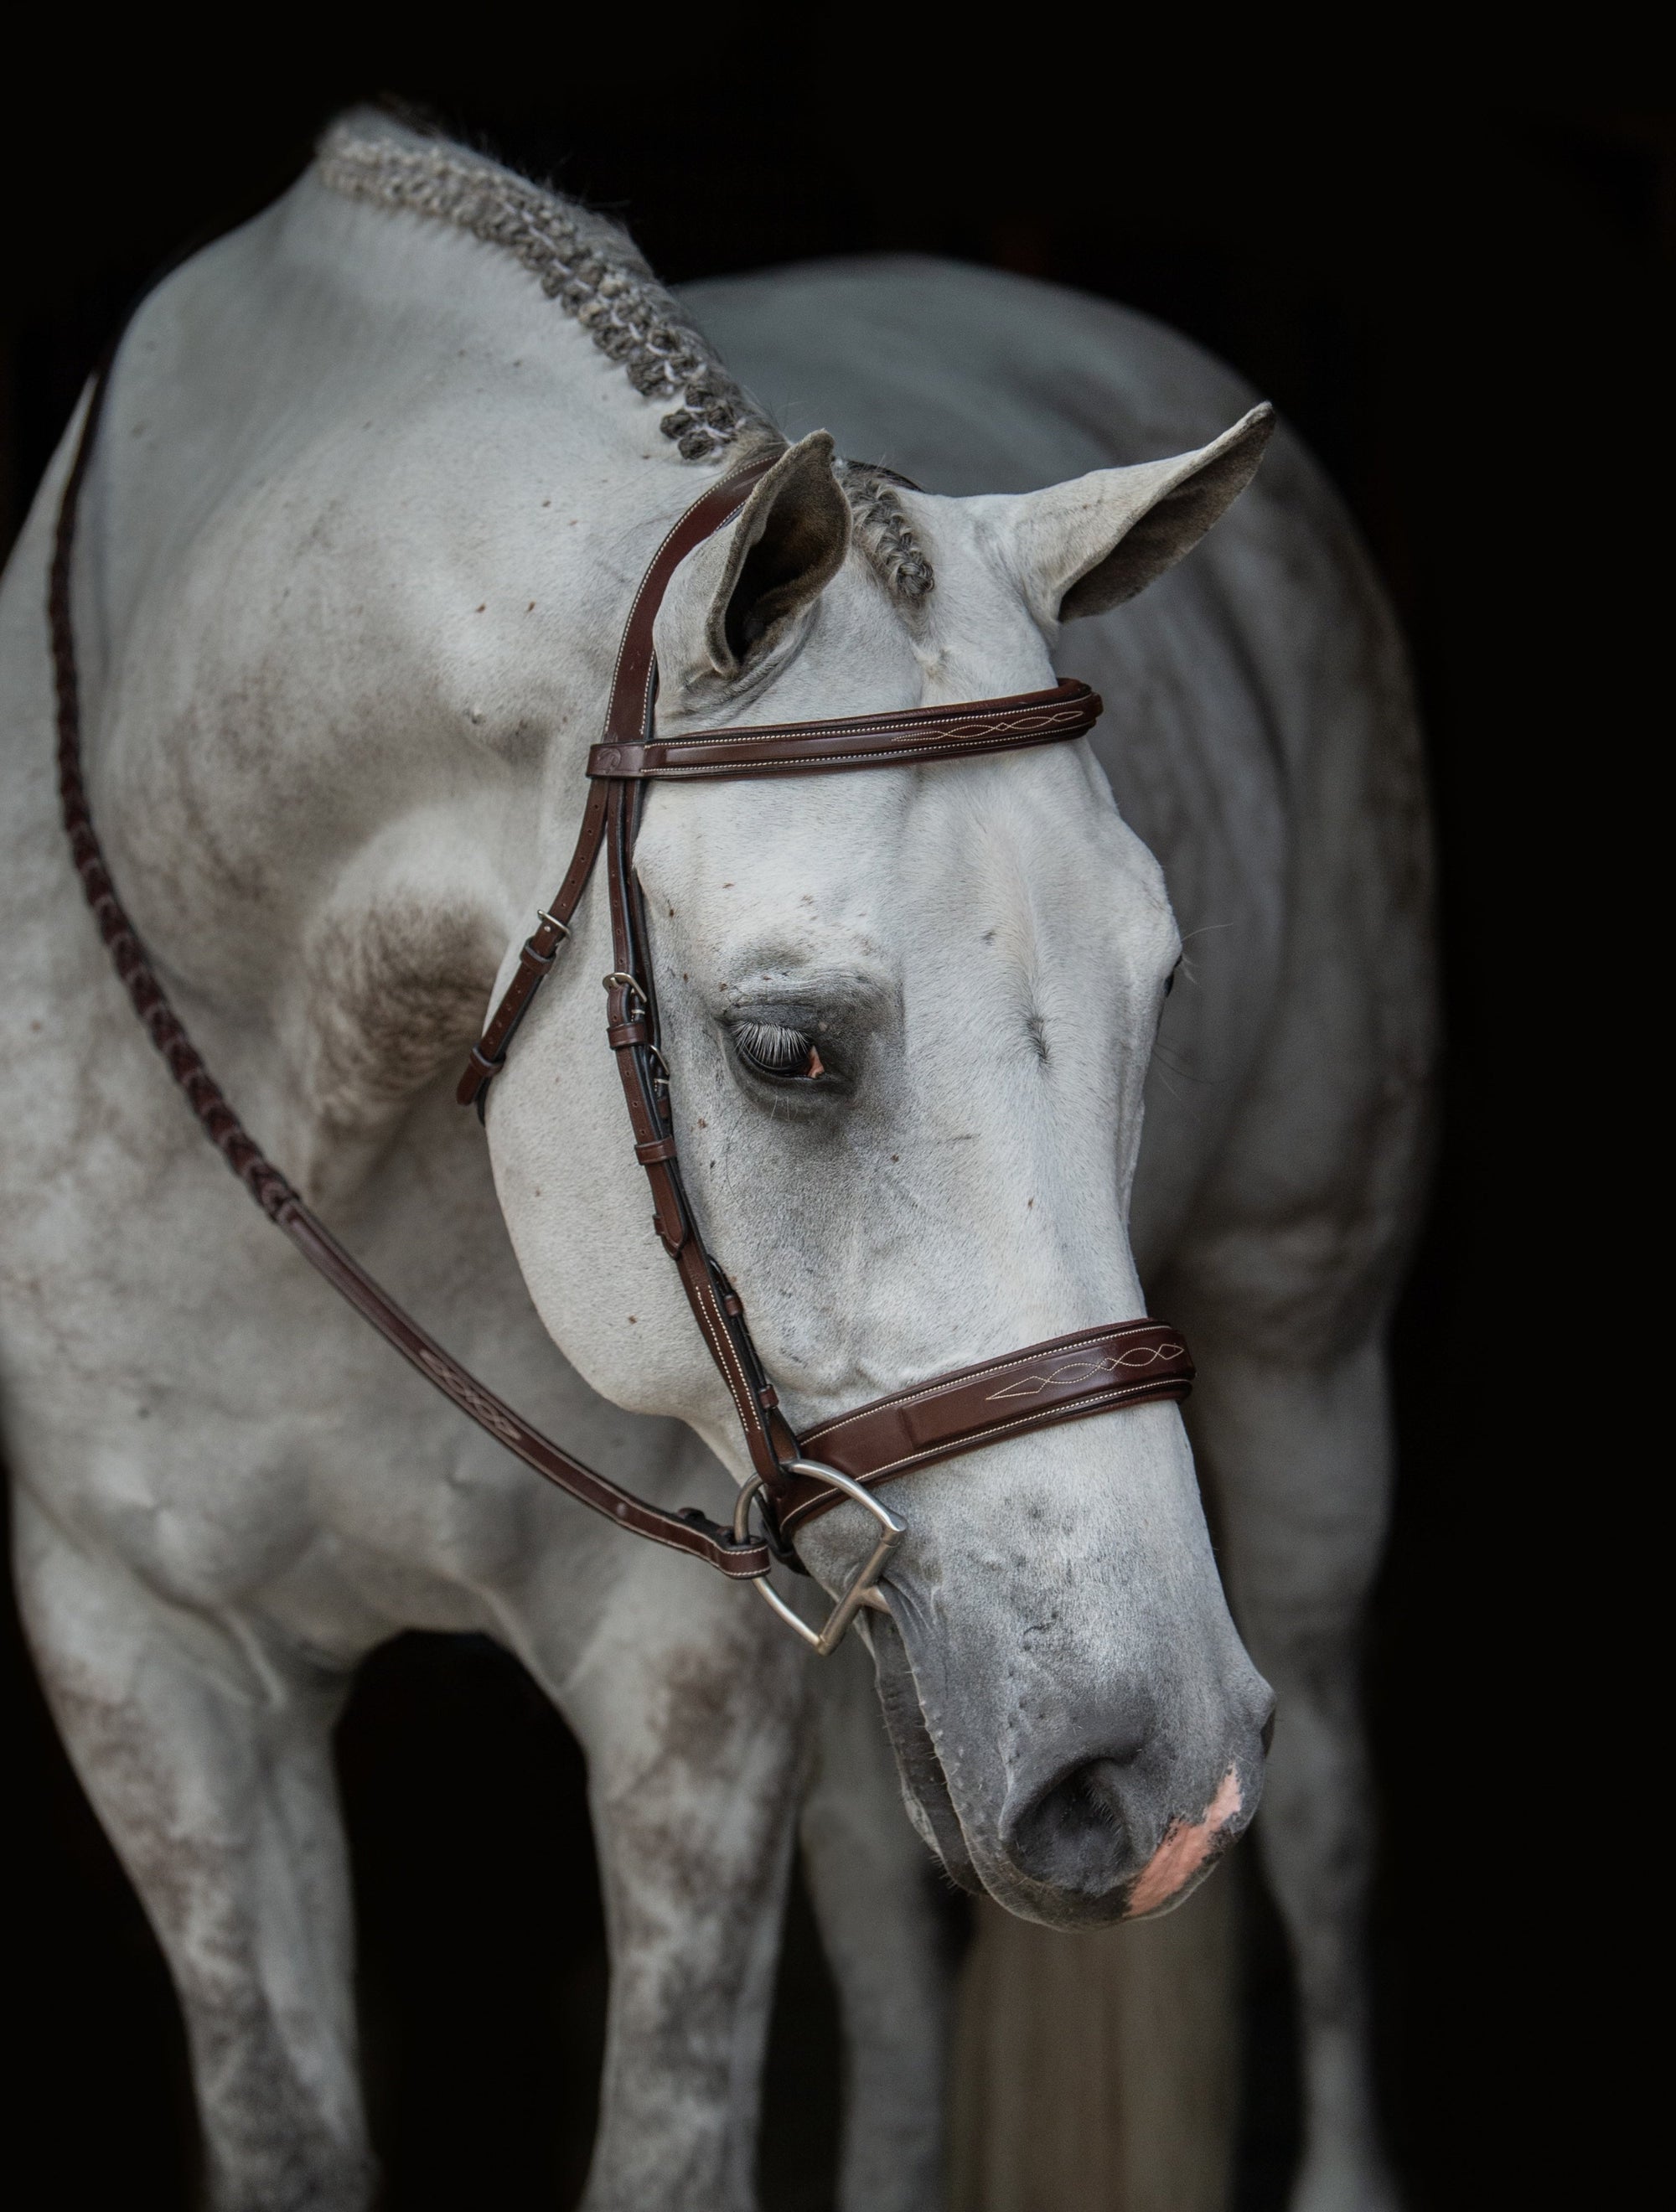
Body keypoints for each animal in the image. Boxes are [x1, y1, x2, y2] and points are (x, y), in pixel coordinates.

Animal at [3, 111, 1432, 2203]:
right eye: (785, 1051)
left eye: (1158, 981)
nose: (1149, 1768)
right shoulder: (148, 1661)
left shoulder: (685, 1678)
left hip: (1298, 1364)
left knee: (1325, 1812)